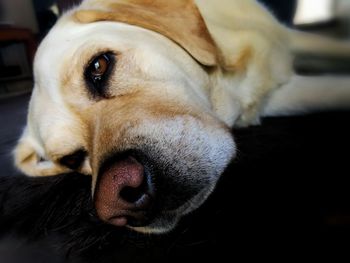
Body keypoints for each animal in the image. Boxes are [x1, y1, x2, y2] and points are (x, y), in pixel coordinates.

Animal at [11, 0, 350, 235]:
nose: (119, 196)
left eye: (98, 66)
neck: (228, 80)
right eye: (72, 159)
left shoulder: (293, 39)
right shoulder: (279, 97)